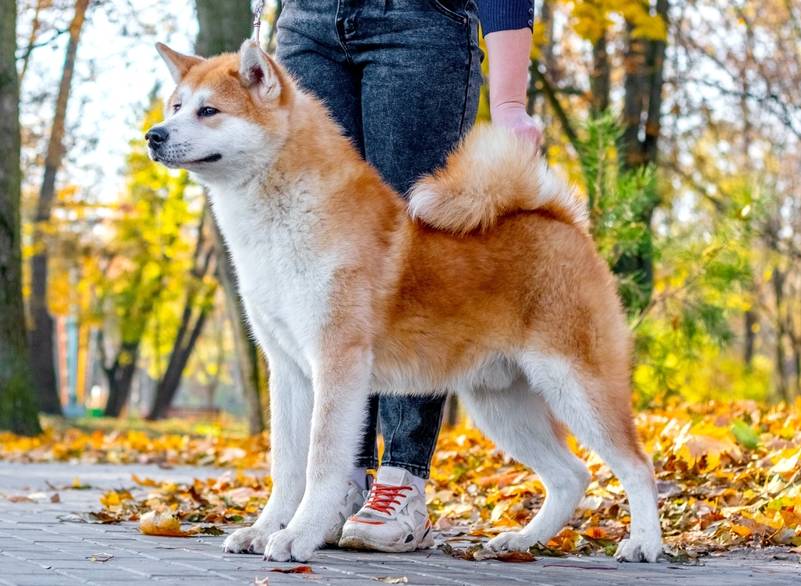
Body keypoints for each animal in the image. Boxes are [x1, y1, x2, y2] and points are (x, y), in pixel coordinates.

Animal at [148, 40, 664, 560]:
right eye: (176, 107)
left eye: (208, 111)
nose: (153, 135)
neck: (286, 217)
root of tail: (560, 219)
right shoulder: (289, 369)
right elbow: (287, 466)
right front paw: (264, 529)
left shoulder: (338, 362)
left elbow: (320, 462)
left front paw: (298, 535)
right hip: (501, 404)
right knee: (570, 475)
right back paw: (523, 539)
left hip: (576, 385)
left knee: (636, 465)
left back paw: (643, 543)